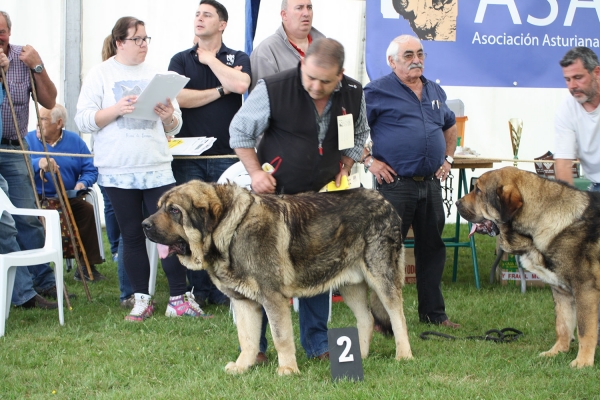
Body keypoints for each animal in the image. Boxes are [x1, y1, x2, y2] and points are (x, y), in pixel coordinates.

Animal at [142, 180, 412, 376]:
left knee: (397, 316)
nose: (144, 224)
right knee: (366, 319)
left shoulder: (273, 299)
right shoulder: (243, 302)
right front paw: (243, 366)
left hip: (381, 278)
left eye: (174, 211)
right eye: (159, 206)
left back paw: (404, 355)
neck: (230, 230)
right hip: (350, 285)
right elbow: (247, 338)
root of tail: (386, 203)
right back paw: (360, 356)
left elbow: (281, 338)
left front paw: (288, 370)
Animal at [458, 166, 596, 368]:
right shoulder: (561, 291)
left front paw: (583, 362)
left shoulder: (585, 289)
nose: (456, 203)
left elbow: (585, 329)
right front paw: (557, 352)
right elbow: (563, 324)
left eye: (478, 191)